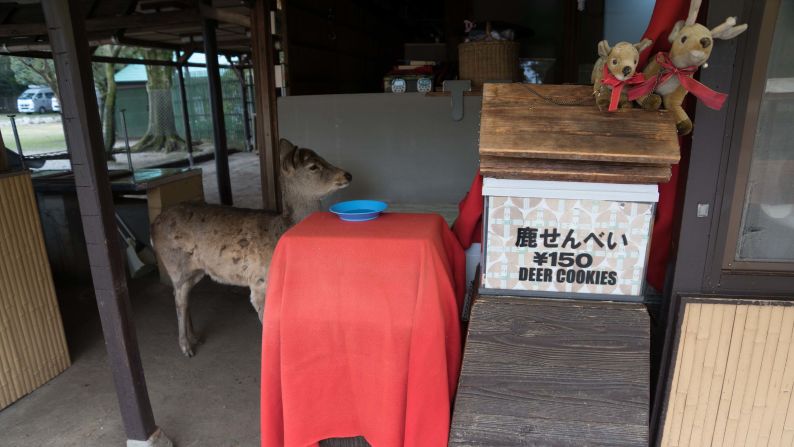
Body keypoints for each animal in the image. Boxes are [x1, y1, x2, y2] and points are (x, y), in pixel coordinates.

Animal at [152, 140, 350, 356]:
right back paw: (186, 347)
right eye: (313, 166)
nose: (347, 174)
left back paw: (195, 337)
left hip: (195, 270)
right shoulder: (259, 282)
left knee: (185, 297)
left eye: (322, 157)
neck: (280, 229)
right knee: (179, 299)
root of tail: (154, 227)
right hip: (175, 264)